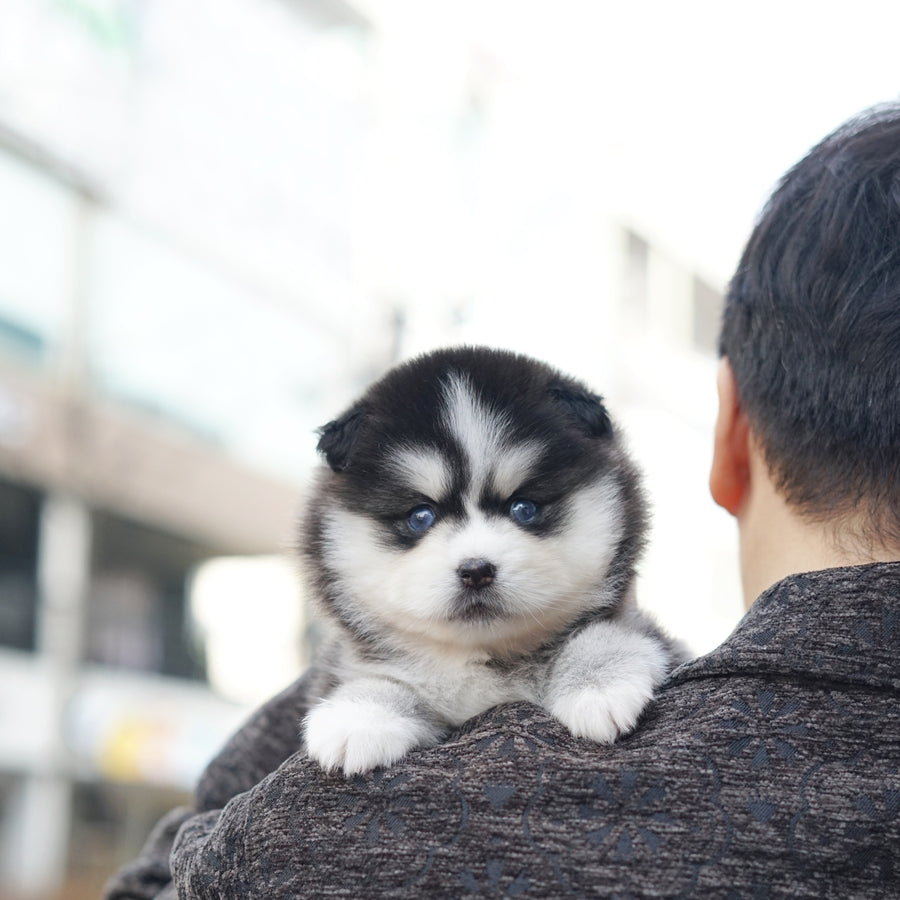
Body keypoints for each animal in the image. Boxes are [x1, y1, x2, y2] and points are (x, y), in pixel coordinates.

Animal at [298, 344, 684, 772]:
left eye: (524, 508)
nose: (476, 570)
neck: (486, 659)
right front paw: (361, 714)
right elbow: (381, 678)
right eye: (421, 516)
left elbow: (608, 631)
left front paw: (599, 682)